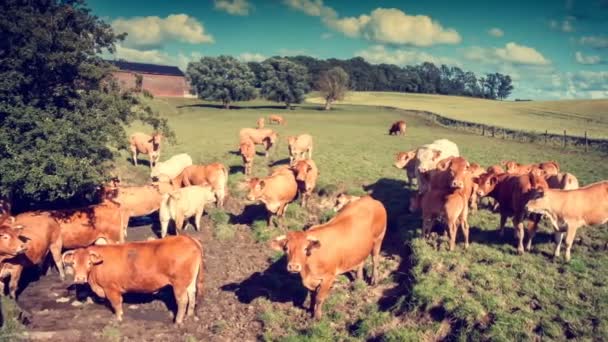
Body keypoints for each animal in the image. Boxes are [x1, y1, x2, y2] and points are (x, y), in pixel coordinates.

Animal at [63, 235, 203, 324]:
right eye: (73, 263)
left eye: (89, 263)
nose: (80, 278)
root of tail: (188, 239)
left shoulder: (111, 289)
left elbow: (116, 304)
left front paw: (118, 318)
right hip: (189, 282)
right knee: (192, 294)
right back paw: (190, 315)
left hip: (179, 284)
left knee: (182, 300)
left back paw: (178, 321)